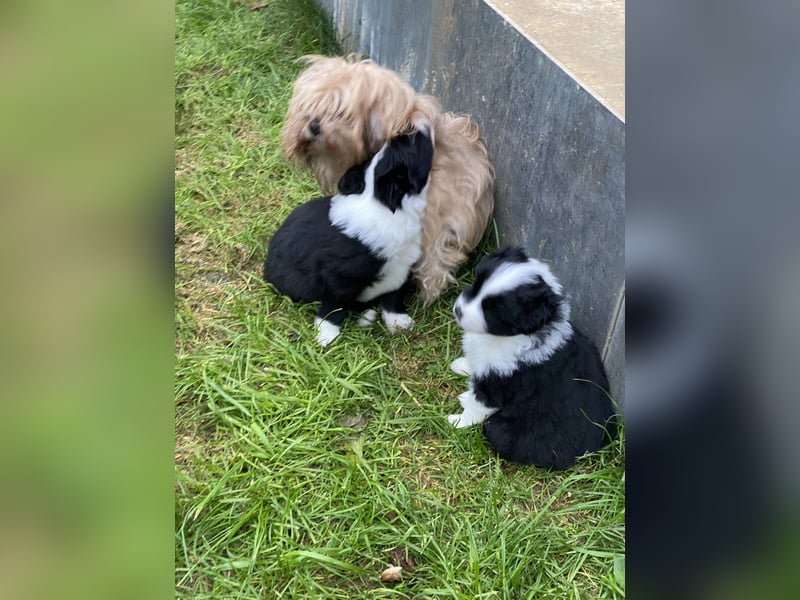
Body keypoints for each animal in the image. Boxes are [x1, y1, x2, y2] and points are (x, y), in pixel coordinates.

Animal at [264, 126, 434, 346]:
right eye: (413, 143)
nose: (416, 127)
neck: (381, 203)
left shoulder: (401, 267)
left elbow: (393, 294)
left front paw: (398, 321)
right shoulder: (338, 275)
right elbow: (334, 306)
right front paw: (327, 335)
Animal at [446, 245, 616, 468]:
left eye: (493, 311)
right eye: (477, 283)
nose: (458, 311)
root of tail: (592, 450)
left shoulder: (497, 386)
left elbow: (477, 406)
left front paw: (456, 422)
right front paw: (462, 365)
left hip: (501, 430)